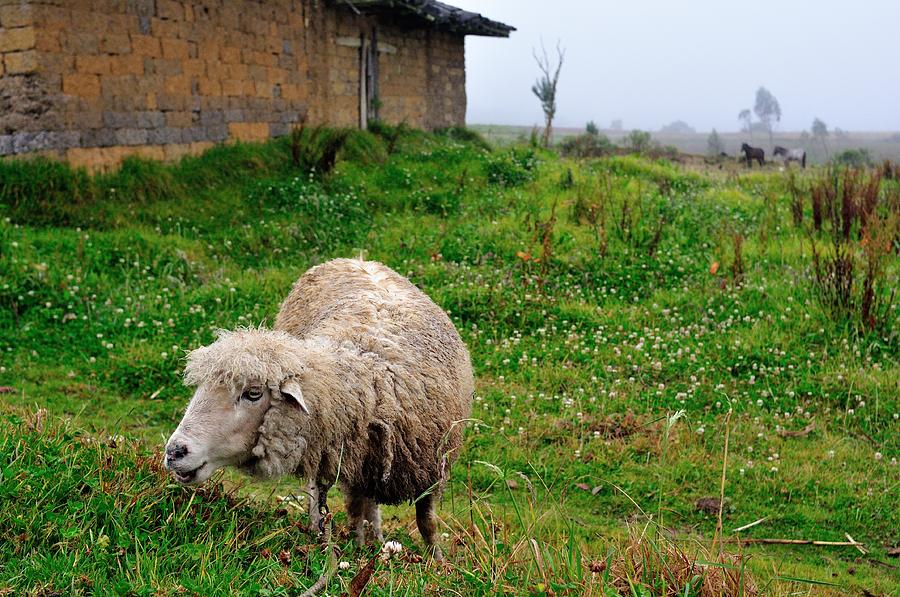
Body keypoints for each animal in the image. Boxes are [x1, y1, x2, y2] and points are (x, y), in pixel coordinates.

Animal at [163, 258, 474, 556]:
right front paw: (359, 552)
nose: (174, 452)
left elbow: (427, 523)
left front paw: (437, 562)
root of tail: (355, 258)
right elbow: (354, 516)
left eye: (252, 394)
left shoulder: (431, 466)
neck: (371, 378)